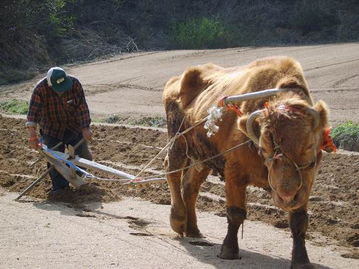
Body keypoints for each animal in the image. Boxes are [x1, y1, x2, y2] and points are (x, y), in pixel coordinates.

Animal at [162, 55, 336, 266]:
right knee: (172, 172)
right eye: (264, 147)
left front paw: (301, 260)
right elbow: (235, 213)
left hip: (202, 158)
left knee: (189, 186)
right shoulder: (234, 173)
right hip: (178, 142)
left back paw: (193, 229)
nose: (286, 194)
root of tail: (175, 82)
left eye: (310, 145)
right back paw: (178, 220)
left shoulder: (306, 183)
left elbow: (299, 220)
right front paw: (229, 250)